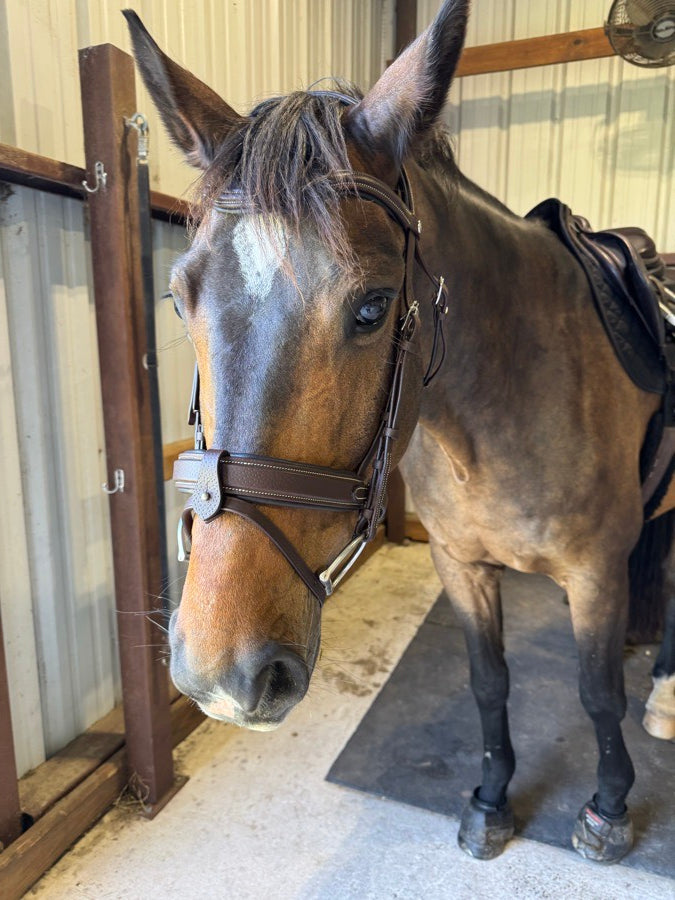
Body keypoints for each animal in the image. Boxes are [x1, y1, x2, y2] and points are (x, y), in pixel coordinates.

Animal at [124, 0, 675, 865]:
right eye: (180, 297)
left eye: (373, 306)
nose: (222, 674)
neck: (505, 410)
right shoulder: (460, 563)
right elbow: (488, 681)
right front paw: (489, 798)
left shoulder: (591, 572)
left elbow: (594, 696)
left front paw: (608, 808)